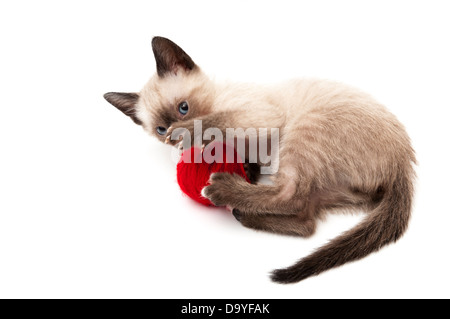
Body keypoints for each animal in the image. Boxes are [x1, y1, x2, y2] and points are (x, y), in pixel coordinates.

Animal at [104, 36, 414, 284]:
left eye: (184, 108)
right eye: (159, 130)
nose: (171, 135)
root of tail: (403, 161)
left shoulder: (258, 117)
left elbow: (218, 120)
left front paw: (192, 133)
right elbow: (249, 163)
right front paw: (244, 169)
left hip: (305, 128)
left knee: (291, 196)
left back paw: (223, 191)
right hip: (327, 186)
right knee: (307, 220)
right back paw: (244, 212)